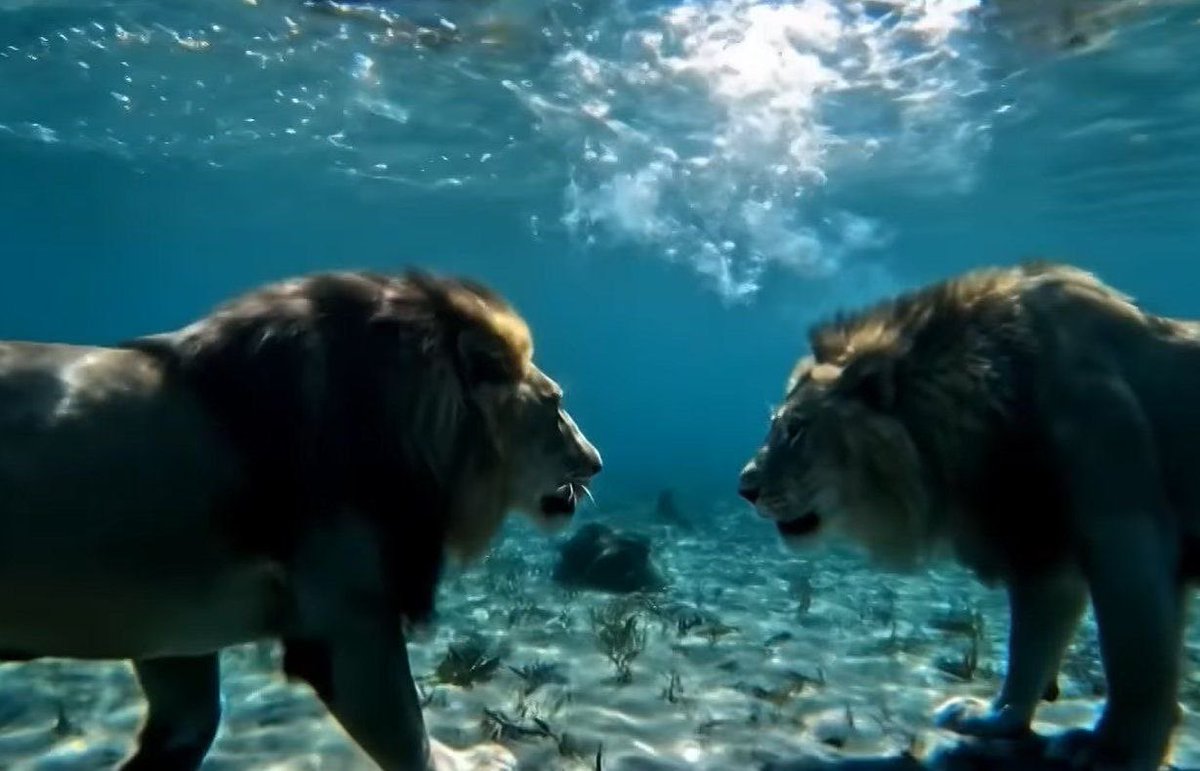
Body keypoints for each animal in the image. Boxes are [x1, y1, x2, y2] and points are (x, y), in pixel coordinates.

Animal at [0, 269, 602, 770]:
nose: (596, 462)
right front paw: (473, 762)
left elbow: (192, 726)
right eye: (554, 404)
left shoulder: (174, 636)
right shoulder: (347, 622)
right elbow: (410, 739)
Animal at [737, 260, 1199, 771]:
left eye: (796, 430)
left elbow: (1136, 658)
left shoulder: (1126, 535)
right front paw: (995, 720)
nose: (744, 489)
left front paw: (1112, 751)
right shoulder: (1040, 549)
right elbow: (1029, 649)